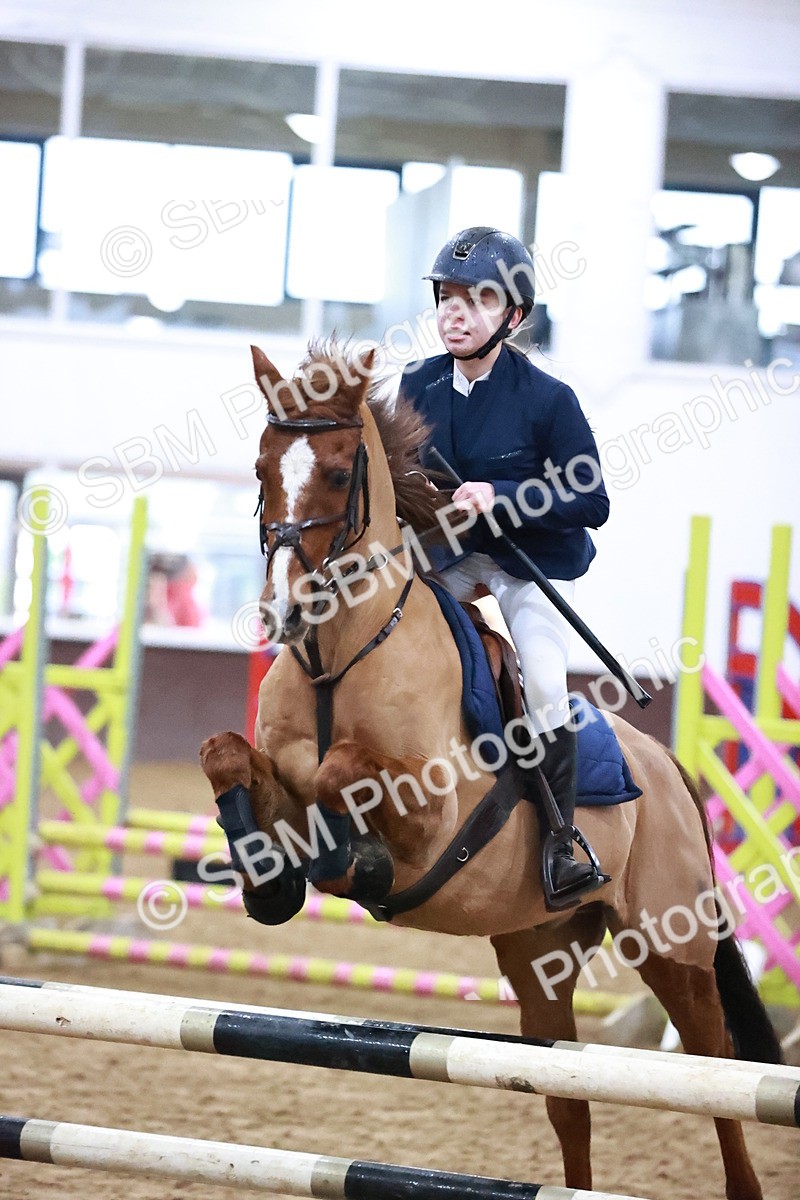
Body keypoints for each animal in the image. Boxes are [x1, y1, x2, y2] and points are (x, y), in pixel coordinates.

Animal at [200, 338, 781, 1200]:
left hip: (672, 946)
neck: (341, 655)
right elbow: (229, 756)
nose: (283, 610)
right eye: (262, 466)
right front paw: (271, 883)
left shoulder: (431, 813)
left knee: (717, 1081)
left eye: (338, 473)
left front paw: (353, 862)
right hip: (540, 954)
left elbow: (345, 775)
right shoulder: (278, 772)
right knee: (569, 1099)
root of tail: (670, 767)